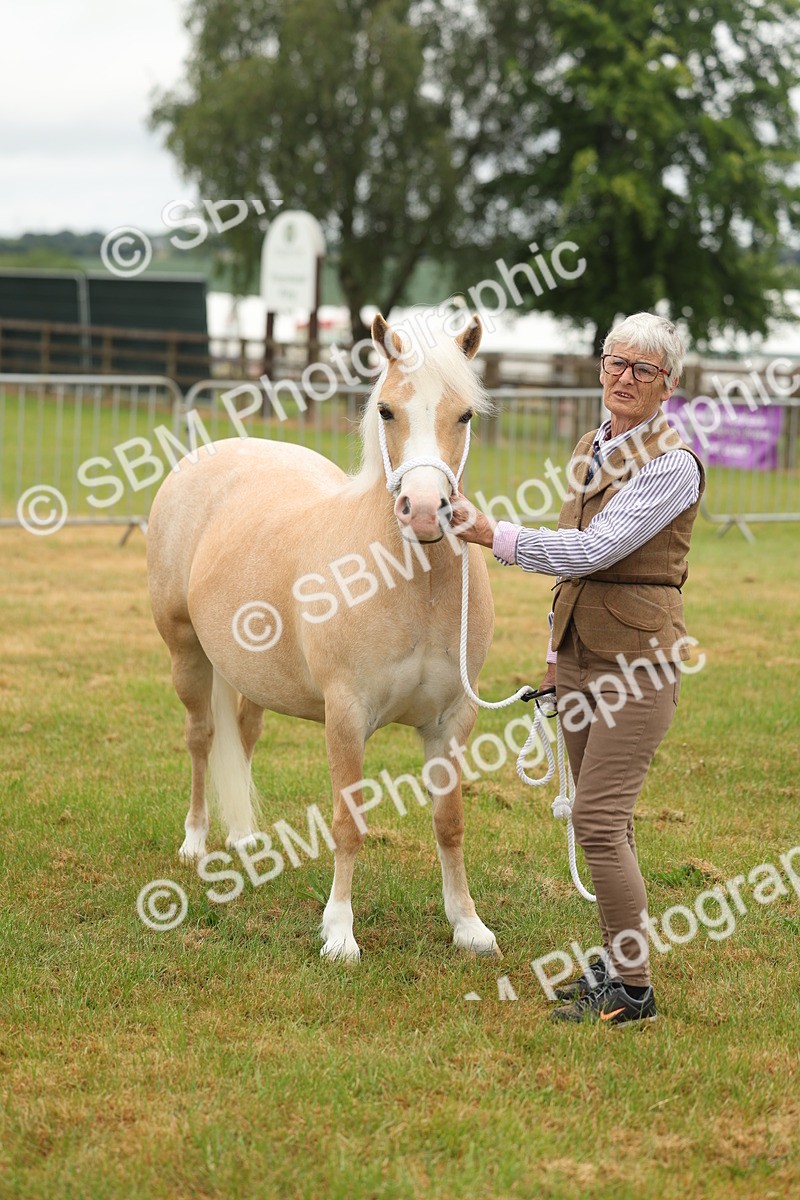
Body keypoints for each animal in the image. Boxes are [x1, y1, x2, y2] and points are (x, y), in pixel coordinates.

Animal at [146, 313, 500, 961]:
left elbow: (450, 821)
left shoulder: (452, 721)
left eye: (464, 415)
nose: (424, 510)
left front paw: (468, 925)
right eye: (386, 410)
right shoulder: (346, 717)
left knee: (243, 733)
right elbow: (347, 823)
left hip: (251, 673)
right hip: (187, 656)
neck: (411, 586)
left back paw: (246, 840)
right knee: (201, 739)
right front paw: (338, 933)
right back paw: (196, 841)